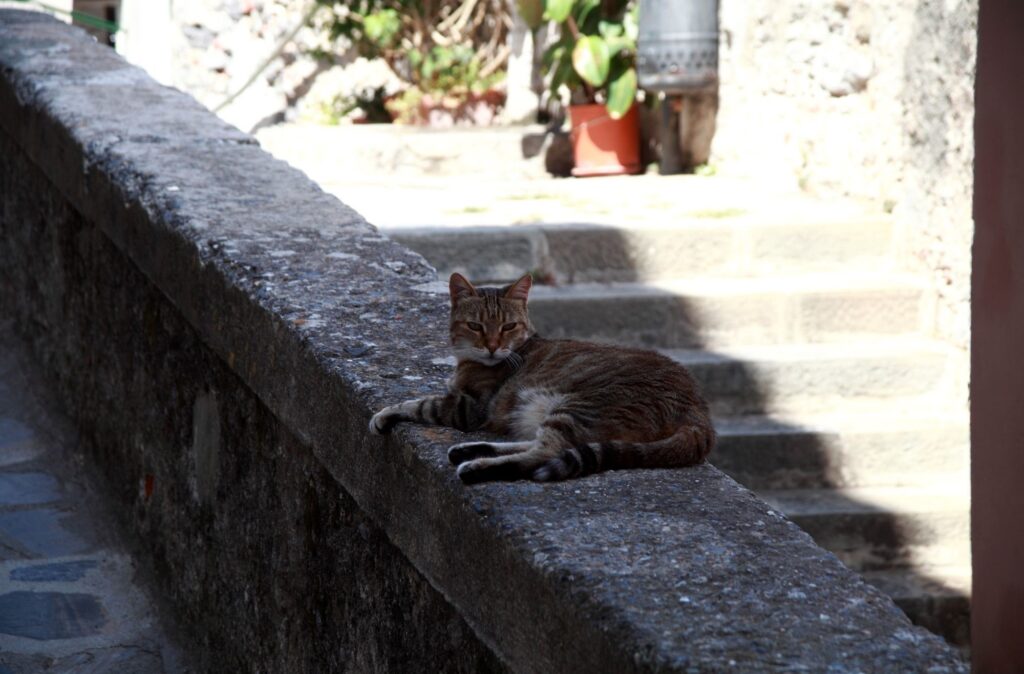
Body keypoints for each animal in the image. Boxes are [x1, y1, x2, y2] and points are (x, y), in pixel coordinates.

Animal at [368, 272, 712, 483]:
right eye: (476, 326)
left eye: (508, 326)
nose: (492, 346)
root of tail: (698, 409)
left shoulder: (467, 407)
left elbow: (419, 403)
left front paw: (384, 414)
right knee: (534, 443)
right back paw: (471, 450)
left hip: (578, 407)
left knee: (543, 452)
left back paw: (475, 465)